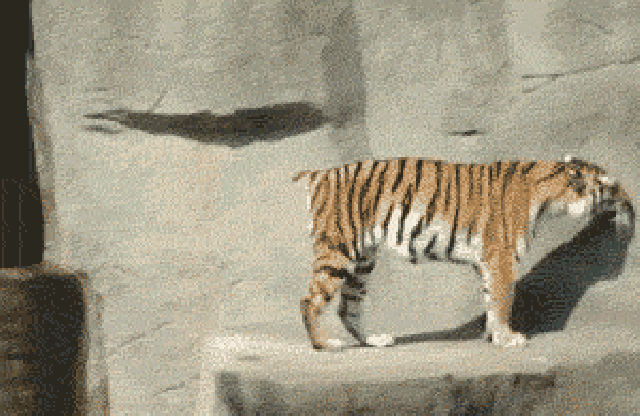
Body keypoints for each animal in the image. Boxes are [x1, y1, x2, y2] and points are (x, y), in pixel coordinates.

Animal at [293, 155, 635, 351]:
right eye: (612, 187)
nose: (630, 201)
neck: (549, 195)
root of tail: (320, 173)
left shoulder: (486, 262)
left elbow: (491, 299)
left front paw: (492, 335)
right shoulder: (502, 258)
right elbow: (504, 299)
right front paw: (508, 338)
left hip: (363, 260)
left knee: (347, 306)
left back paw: (374, 340)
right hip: (339, 249)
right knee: (310, 300)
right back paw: (325, 344)